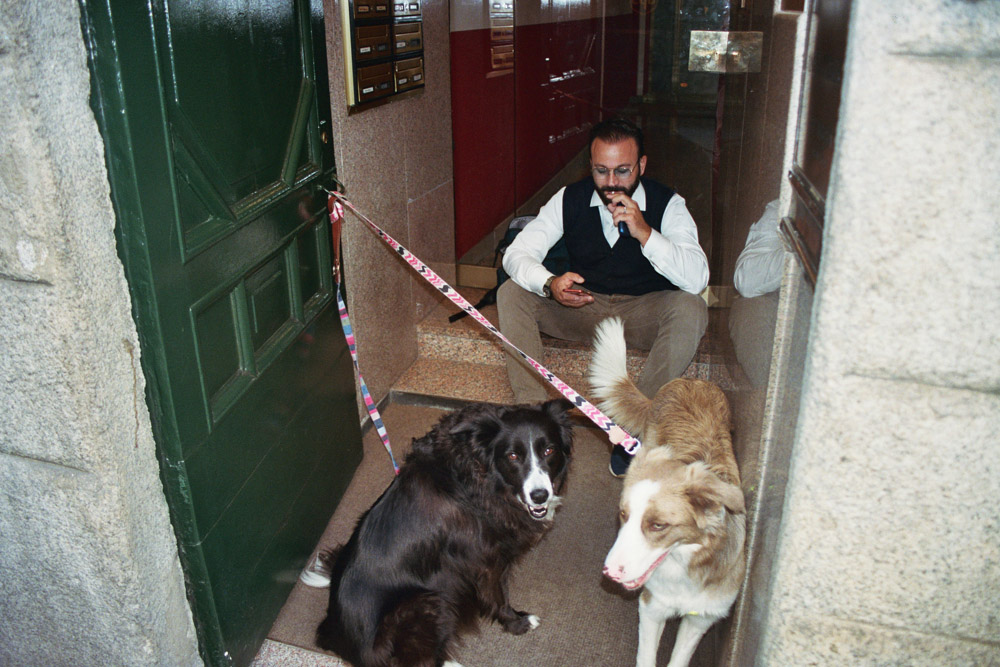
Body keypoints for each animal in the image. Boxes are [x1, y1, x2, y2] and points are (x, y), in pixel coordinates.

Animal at [304, 399, 574, 667]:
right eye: (513, 455)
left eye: (549, 451)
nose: (540, 496)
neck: (477, 475)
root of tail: (334, 634)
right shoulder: (485, 562)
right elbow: (498, 597)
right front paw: (517, 622)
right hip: (426, 602)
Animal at [588, 317, 746, 667]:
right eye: (623, 515)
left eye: (659, 525)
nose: (609, 573)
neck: (684, 565)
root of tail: (690, 379)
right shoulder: (652, 608)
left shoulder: (701, 619)